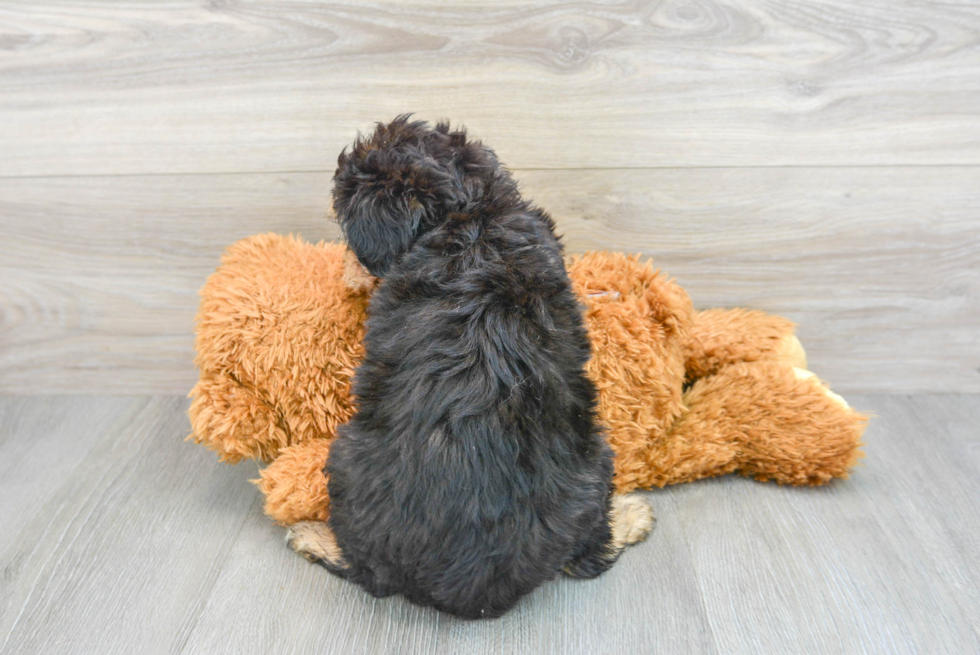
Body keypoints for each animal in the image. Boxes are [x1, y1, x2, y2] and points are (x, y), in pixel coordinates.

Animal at [290, 118, 652, 620]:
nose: (351, 267)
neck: (470, 212)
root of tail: (468, 590)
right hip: (594, 457)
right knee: (587, 553)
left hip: (346, 461)